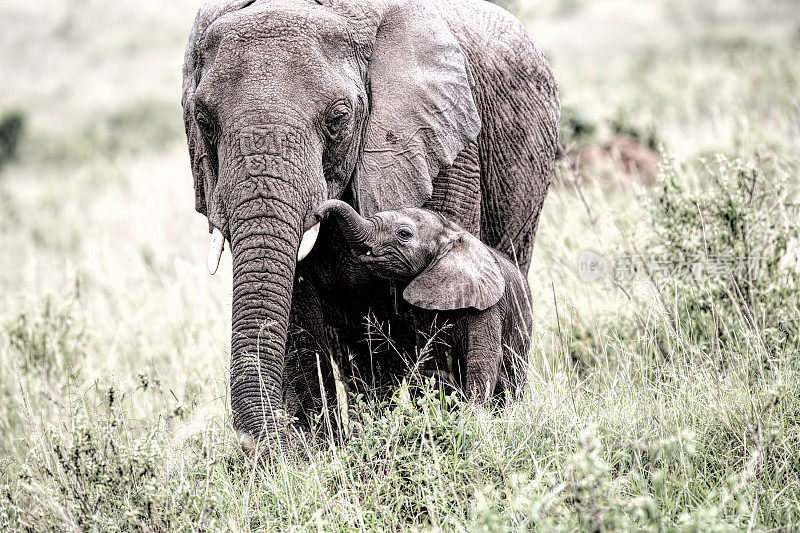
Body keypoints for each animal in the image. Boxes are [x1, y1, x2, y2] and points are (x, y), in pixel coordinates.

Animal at [318, 200, 532, 404]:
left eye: (404, 233)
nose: (318, 214)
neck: (452, 234)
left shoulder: (488, 305)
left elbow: (482, 357)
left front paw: (473, 412)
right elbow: (430, 357)